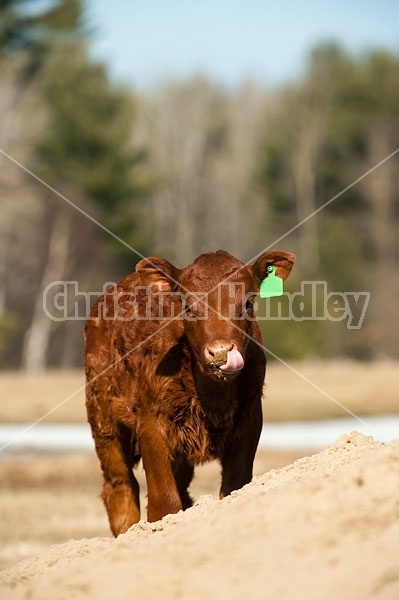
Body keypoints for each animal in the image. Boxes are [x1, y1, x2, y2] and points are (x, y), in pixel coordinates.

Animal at [84, 248, 296, 536]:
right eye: (187, 307)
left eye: (248, 302)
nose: (221, 352)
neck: (212, 396)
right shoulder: (151, 422)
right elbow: (164, 503)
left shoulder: (249, 420)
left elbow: (233, 488)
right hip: (103, 418)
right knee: (120, 485)